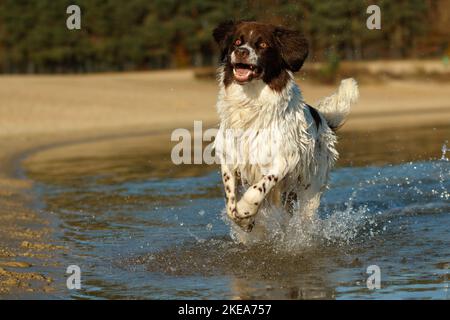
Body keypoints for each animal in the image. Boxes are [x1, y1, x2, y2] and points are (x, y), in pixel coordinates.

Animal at [212, 21, 358, 239]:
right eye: (237, 41)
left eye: (263, 45)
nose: (241, 52)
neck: (250, 103)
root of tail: (322, 118)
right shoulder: (229, 157)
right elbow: (230, 203)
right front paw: (245, 221)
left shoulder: (284, 159)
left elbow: (258, 188)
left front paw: (246, 209)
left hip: (310, 189)